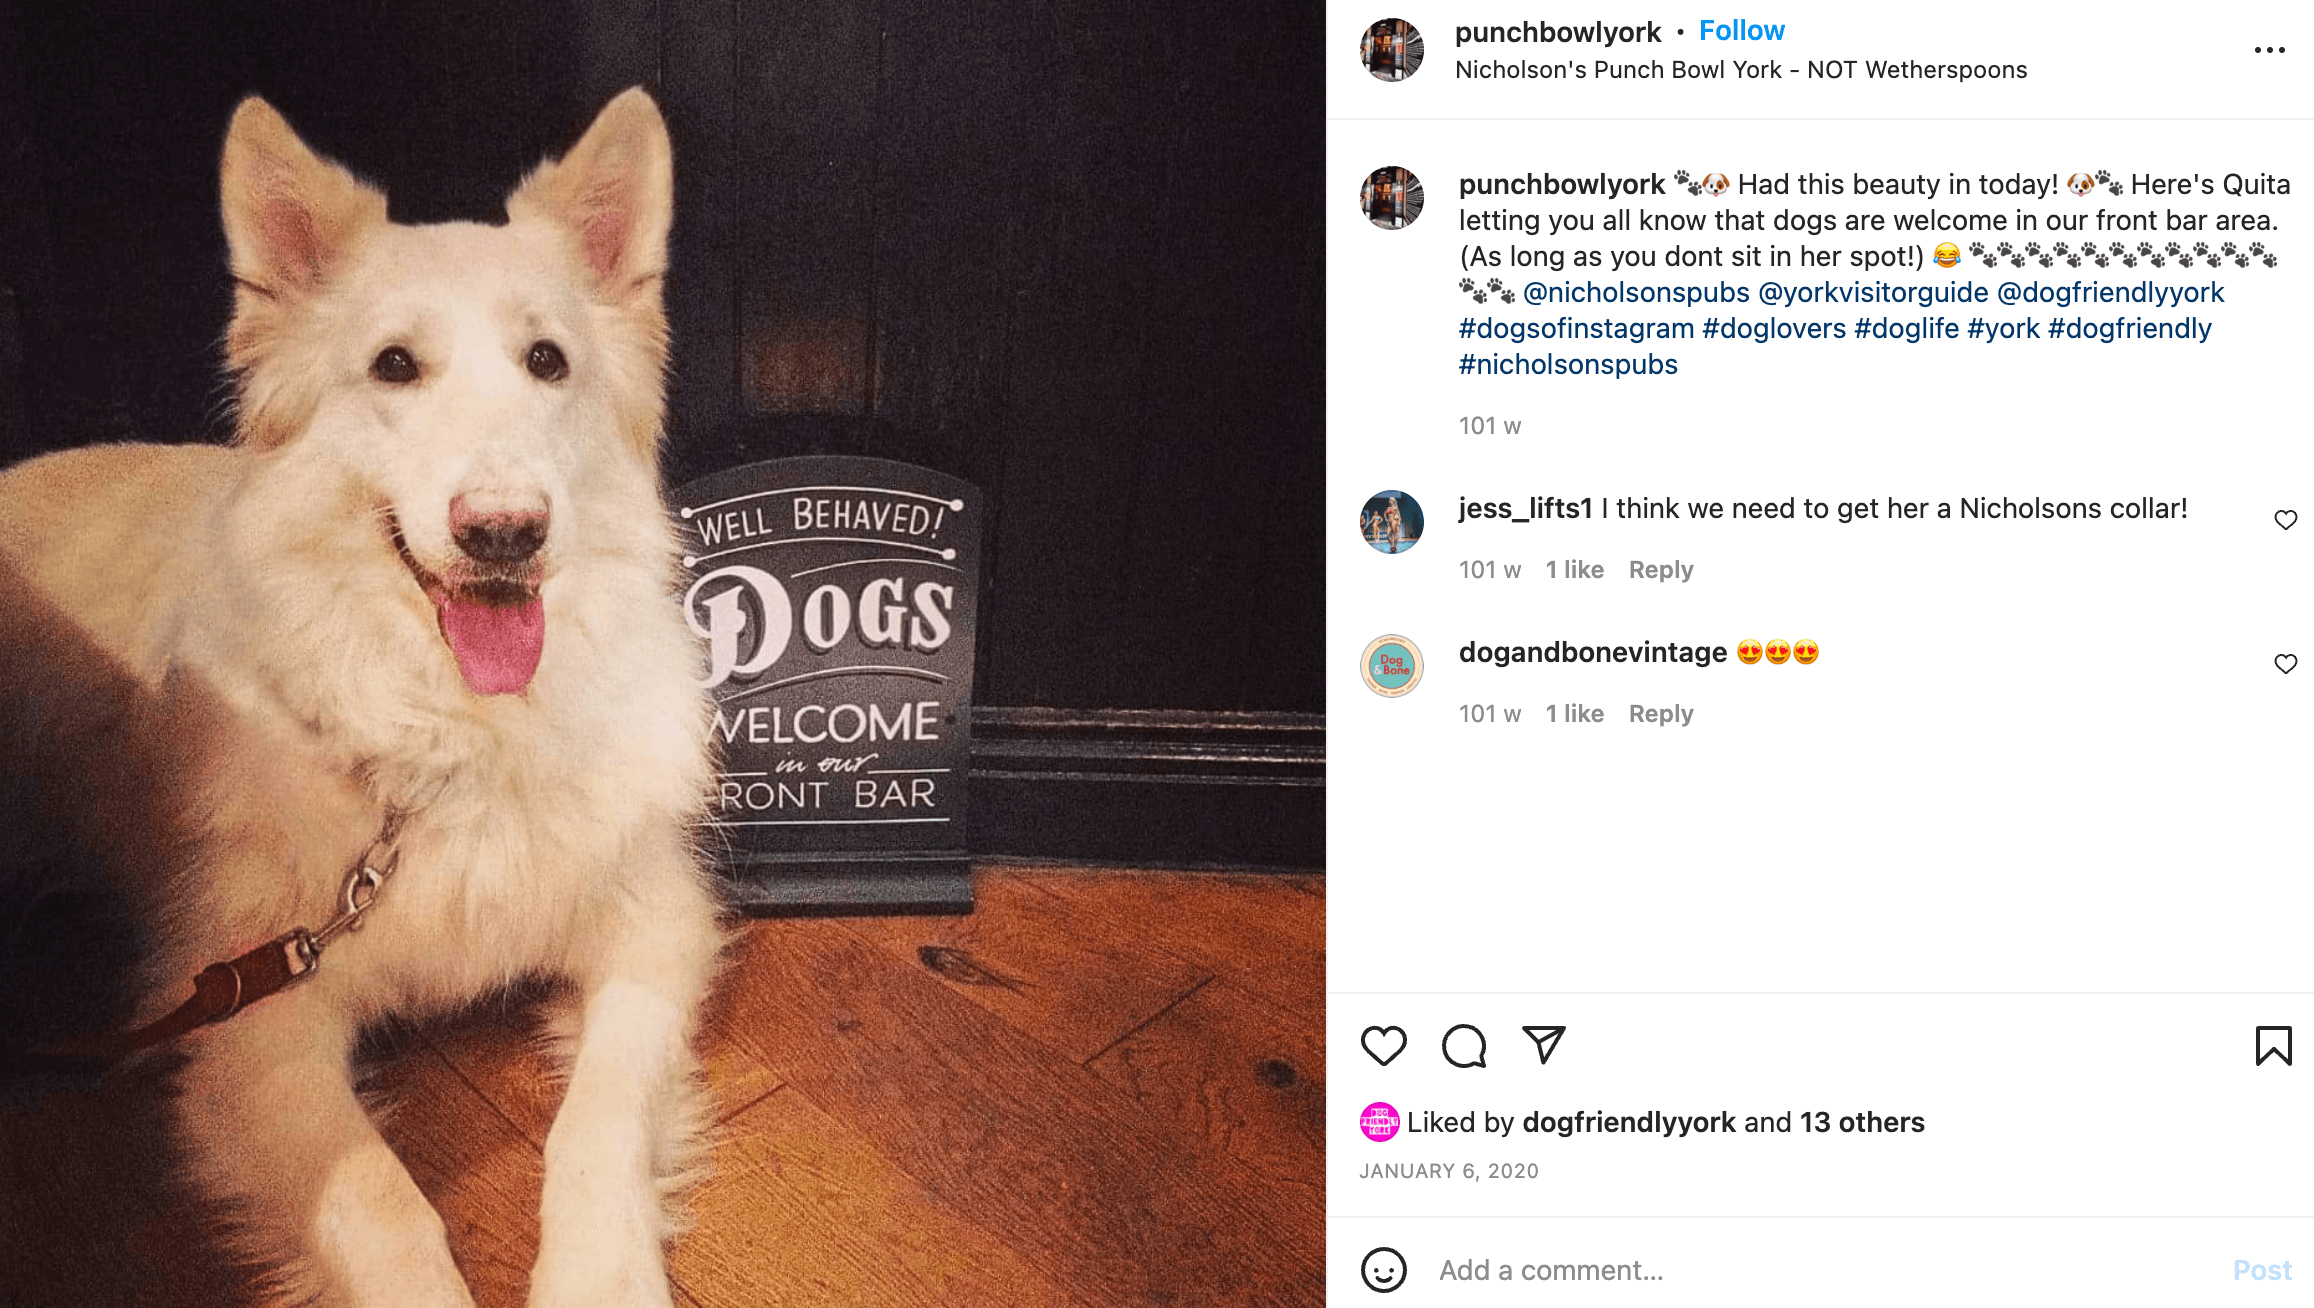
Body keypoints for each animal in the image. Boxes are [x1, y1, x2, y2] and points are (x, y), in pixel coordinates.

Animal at [0, 86, 721, 1296]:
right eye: (393, 367)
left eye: (548, 360)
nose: (505, 533)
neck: (456, 730)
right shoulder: (250, 1016)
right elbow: (384, 1206)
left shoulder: (652, 927)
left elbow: (597, 1127)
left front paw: (598, 1278)